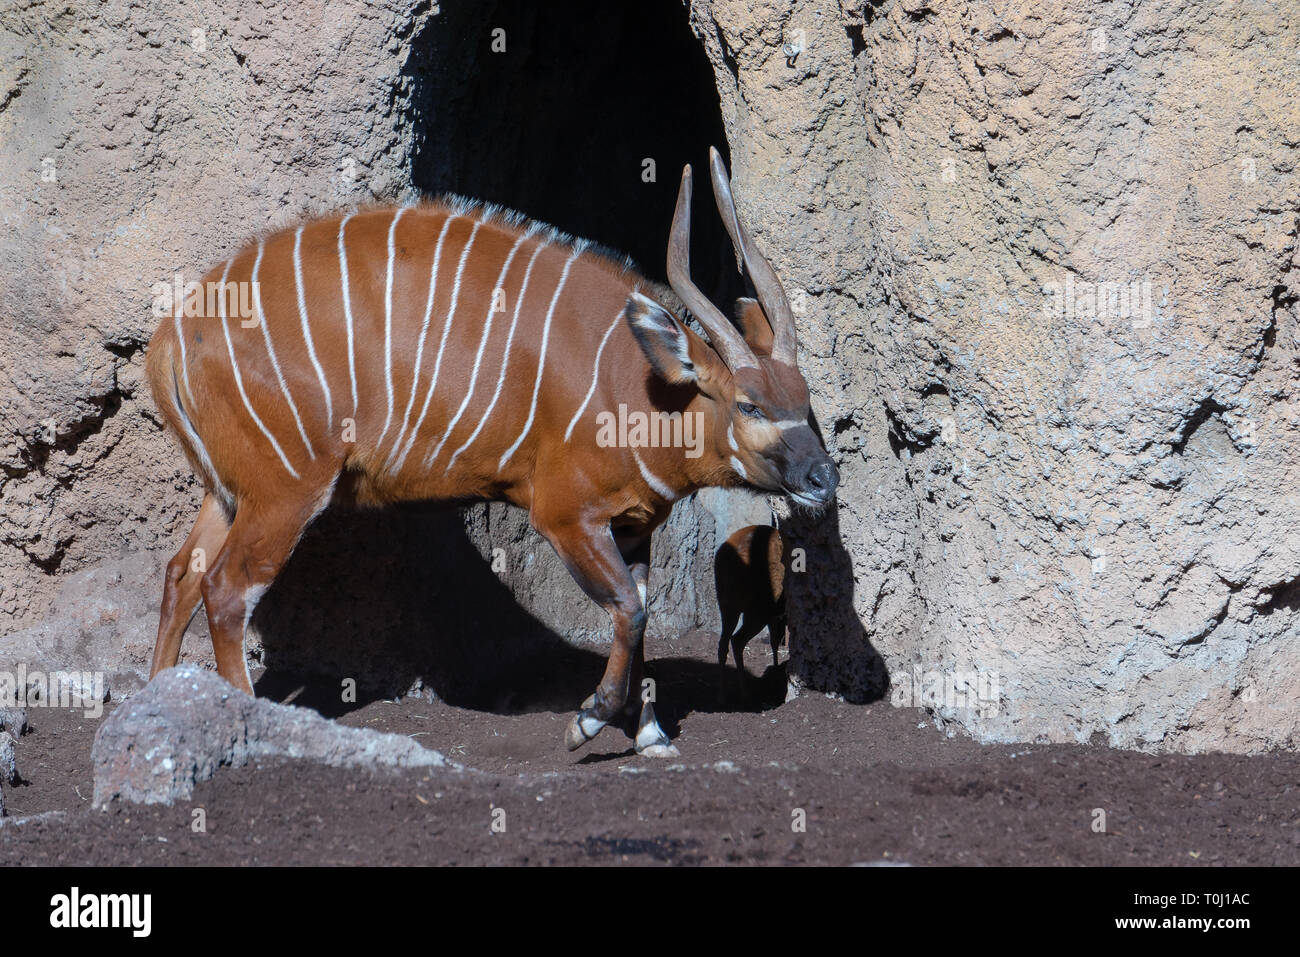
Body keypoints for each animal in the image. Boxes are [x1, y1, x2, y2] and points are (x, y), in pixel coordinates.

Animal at [147, 147, 837, 754]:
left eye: (804, 397)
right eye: (748, 403)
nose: (823, 476)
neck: (637, 383)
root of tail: (175, 331)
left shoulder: (635, 526)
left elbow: (638, 613)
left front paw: (651, 736)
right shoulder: (565, 516)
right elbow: (628, 610)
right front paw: (587, 721)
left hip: (231, 492)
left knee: (183, 574)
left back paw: (162, 701)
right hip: (286, 490)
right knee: (226, 589)